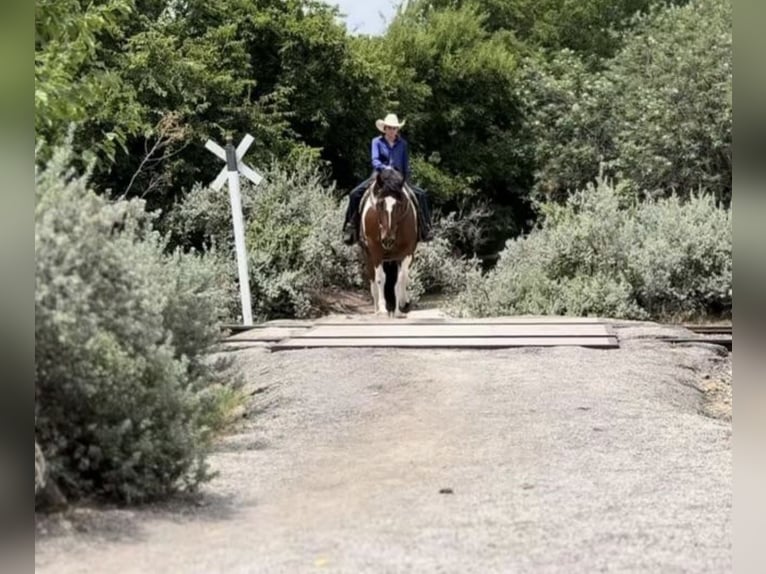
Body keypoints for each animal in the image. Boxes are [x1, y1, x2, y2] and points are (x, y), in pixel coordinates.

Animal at [360, 166, 420, 320]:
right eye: (380, 204)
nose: (387, 239)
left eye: (399, 205)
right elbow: (381, 278)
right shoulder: (375, 251)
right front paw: (382, 309)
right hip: (368, 255)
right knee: (373, 280)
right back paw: (376, 308)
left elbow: (400, 279)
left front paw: (398, 310)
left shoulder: (406, 253)